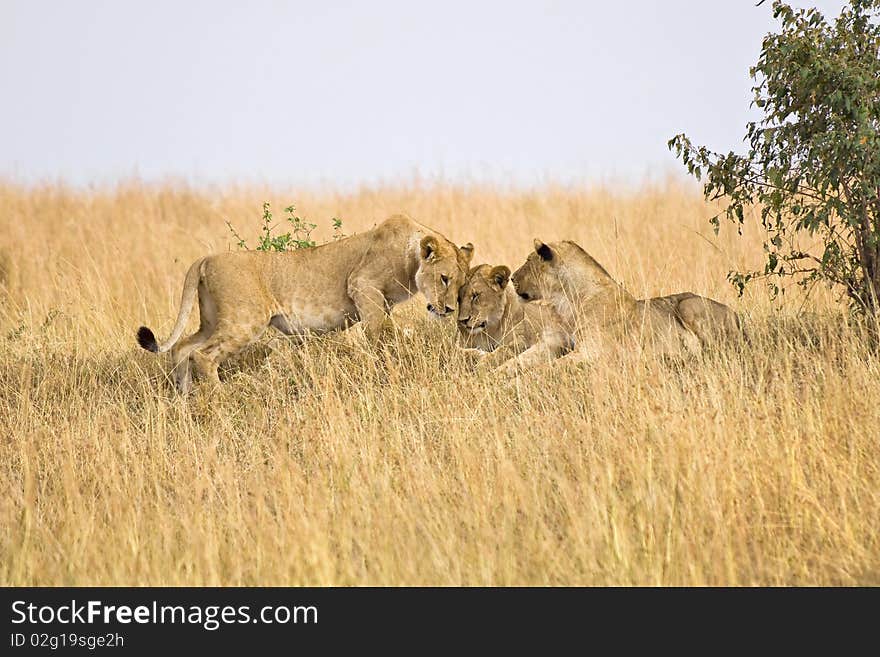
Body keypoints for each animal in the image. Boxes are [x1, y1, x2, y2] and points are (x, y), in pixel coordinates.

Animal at [138, 214, 474, 390]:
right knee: (203, 355)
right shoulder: (362, 285)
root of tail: (205, 258)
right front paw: (385, 364)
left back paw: (184, 399)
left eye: (461, 286)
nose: (448, 310)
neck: (411, 255)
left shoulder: (381, 301)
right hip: (245, 321)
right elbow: (378, 334)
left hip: (213, 321)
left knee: (183, 348)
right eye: (445, 278)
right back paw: (219, 397)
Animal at [460, 241, 744, 374]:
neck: (570, 300)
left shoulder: (592, 352)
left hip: (690, 306)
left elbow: (546, 368)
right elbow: (516, 359)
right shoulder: (561, 341)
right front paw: (492, 371)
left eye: (529, 261)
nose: (513, 279)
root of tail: (736, 314)